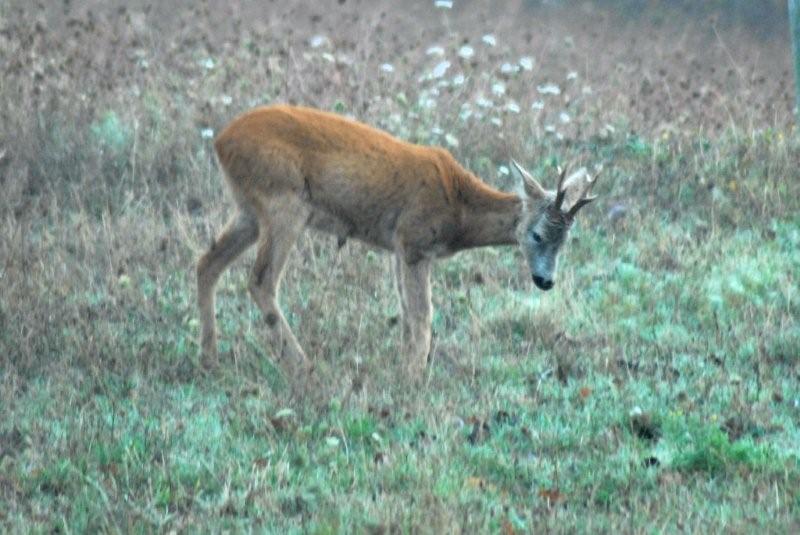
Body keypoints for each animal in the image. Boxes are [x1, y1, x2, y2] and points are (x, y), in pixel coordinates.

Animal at [198, 104, 600, 382]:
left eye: (566, 241)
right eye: (537, 234)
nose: (545, 281)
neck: (458, 206)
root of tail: (220, 141)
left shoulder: (396, 247)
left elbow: (406, 312)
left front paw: (405, 366)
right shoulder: (414, 241)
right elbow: (422, 314)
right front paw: (414, 378)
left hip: (249, 211)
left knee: (207, 263)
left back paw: (210, 358)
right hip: (284, 203)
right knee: (261, 280)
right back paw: (303, 366)